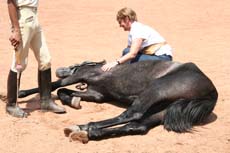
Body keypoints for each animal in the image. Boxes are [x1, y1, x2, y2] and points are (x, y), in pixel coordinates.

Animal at [18, 59, 218, 143]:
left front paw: (21, 93)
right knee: (137, 126)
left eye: (74, 65)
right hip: (162, 110)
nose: (59, 69)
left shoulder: (80, 76)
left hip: (155, 90)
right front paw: (73, 100)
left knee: (131, 114)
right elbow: (62, 91)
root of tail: (211, 92)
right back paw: (88, 133)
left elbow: (55, 86)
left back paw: (87, 127)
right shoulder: (97, 95)